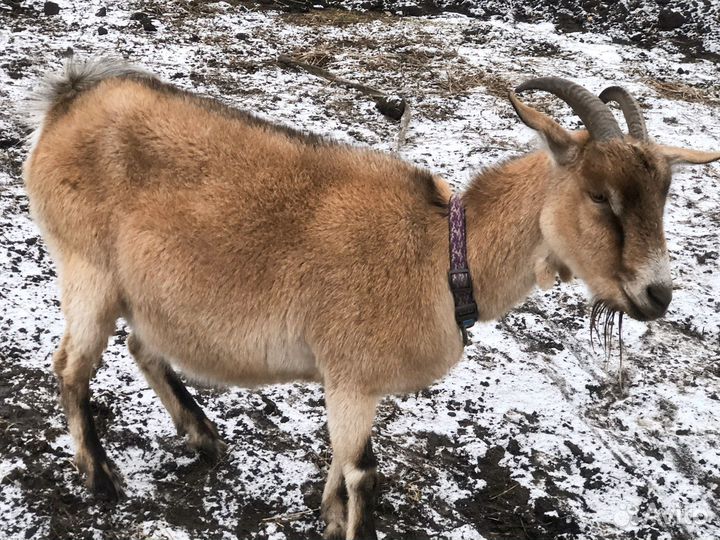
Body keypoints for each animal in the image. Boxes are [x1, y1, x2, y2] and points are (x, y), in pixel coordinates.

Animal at [22, 57, 720, 536]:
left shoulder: (352, 384)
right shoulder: (352, 375)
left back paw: (203, 438)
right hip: (86, 267)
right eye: (600, 196)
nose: (656, 294)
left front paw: (327, 515)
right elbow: (365, 471)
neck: (441, 257)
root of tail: (69, 99)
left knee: (142, 346)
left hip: (141, 290)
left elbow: (340, 460)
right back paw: (102, 479)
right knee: (71, 365)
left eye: (663, 195)